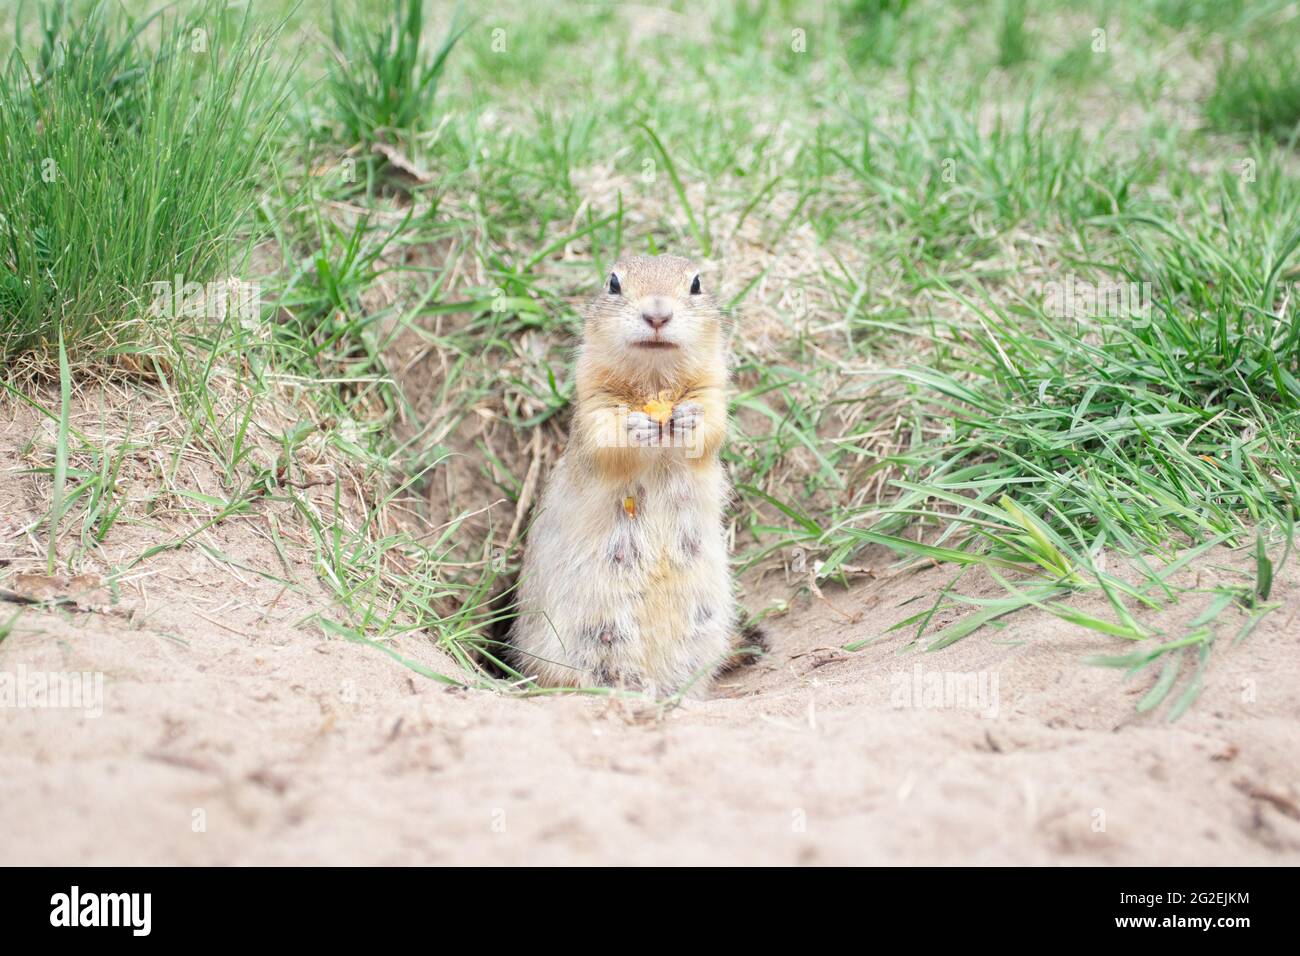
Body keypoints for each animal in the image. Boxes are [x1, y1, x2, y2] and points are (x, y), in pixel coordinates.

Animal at [501, 257, 759, 697]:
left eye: (696, 283)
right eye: (613, 283)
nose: (657, 315)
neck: (654, 382)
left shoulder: (713, 387)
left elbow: (712, 422)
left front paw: (688, 418)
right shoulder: (593, 398)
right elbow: (605, 432)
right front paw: (636, 425)